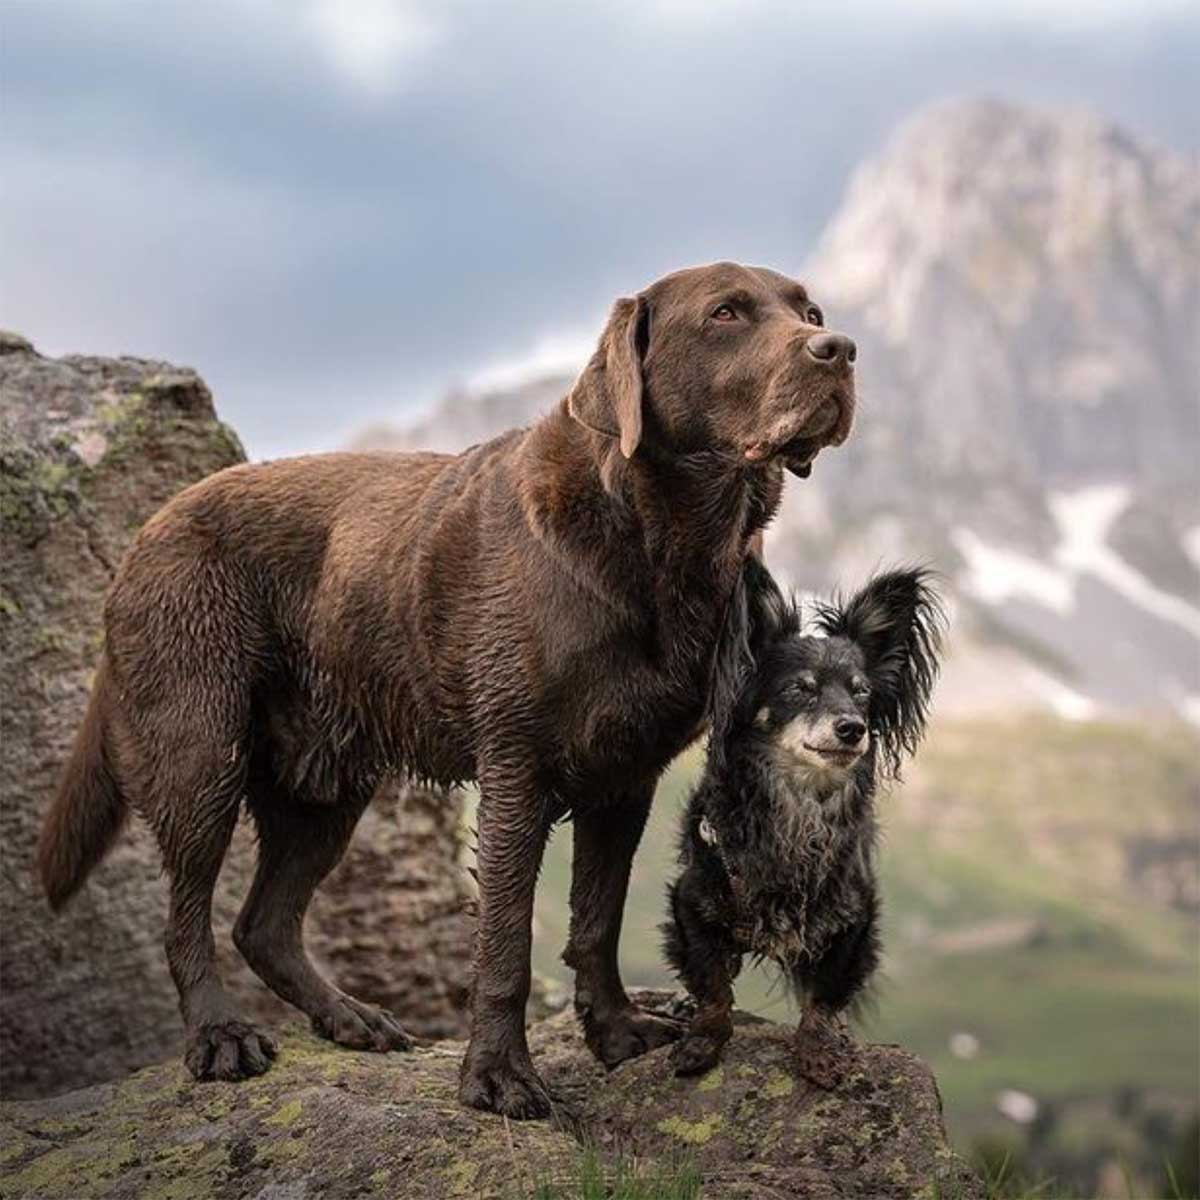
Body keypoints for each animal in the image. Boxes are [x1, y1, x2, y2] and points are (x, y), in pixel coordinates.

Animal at [37, 260, 859, 1113]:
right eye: (726, 313)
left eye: (810, 312)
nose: (839, 348)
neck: (660, 539)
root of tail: (148, 529)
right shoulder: (515, 773)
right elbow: (503, 944)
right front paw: (497, 1075)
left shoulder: (624, 779)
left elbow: (596, 921)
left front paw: (617, 1033)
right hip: (201, 754)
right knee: (190, 916)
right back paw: (219, 1034)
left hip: (323, 788)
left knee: (263, 924)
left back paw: (348, 1016)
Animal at [662, 556, 940, 1084]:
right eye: (799, 689)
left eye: (861, 694)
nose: (852, 728)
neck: (800, 803)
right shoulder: (691, 903)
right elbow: (712, 985)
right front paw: (702, 1042)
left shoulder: (853, 923)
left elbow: (823, 998)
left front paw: (819, 1051)